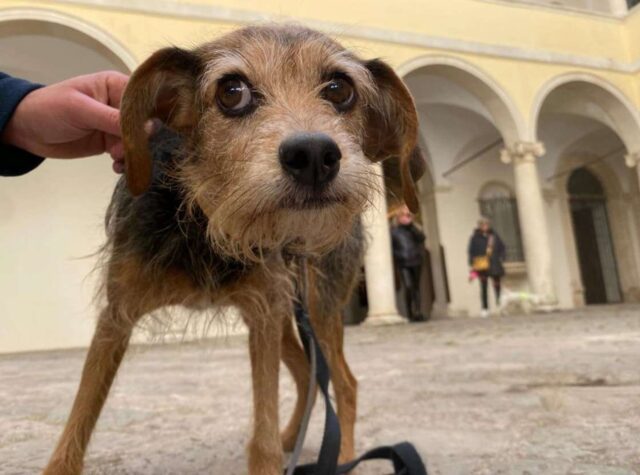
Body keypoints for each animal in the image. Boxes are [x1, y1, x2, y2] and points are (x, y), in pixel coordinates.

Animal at [45, 25, 424, 475]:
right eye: (232, 91)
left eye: (339, 89)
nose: (315, 154)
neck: (211, 227)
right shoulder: (117, 315)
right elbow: (78, 422)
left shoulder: (263, 313)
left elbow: (262, 437)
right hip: (286, 313)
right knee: (308, 375)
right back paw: (295, 440)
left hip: (317, 307)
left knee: (343, 381)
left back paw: (342, 456)